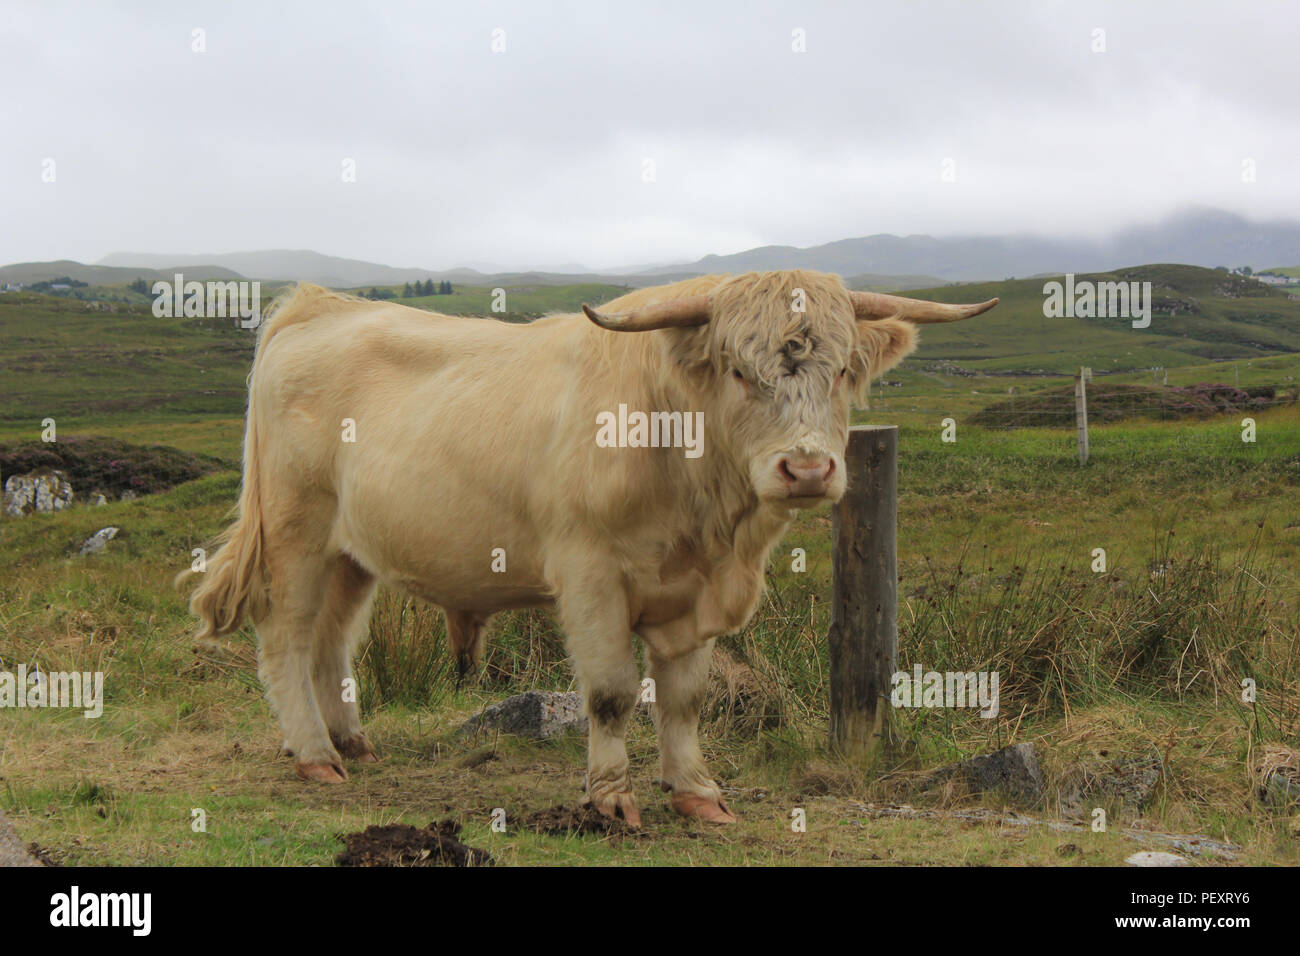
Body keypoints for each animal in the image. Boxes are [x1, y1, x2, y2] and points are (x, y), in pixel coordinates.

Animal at [182, 269, 995, 825]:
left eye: (845, 371)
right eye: (739, 370)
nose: (807, 469)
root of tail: (319, 305)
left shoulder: (697, 593)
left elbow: (686, 698)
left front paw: (697, 793)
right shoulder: (591, 575)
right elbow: (610, 694)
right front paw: (611, 799)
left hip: (353, 553)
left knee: (332, 641)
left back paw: (349, 741)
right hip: (297, 533)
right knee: (286, 639)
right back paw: (316, 756)